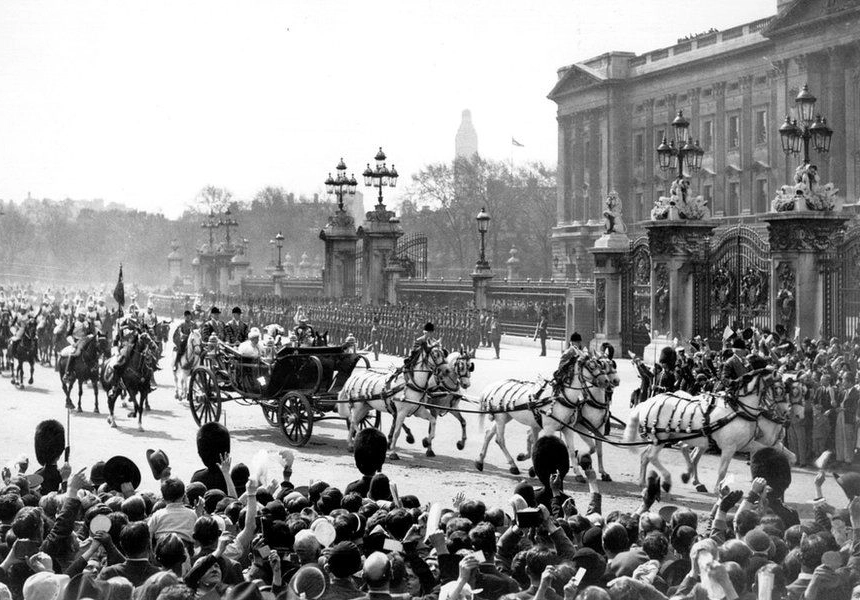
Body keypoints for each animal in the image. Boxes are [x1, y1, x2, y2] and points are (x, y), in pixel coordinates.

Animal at [340, 342, 470, 460]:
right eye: (435, 355)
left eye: (470, 366)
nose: (447, 370)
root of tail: (355, 375)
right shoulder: (407, 411)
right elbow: (397, 431)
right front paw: (394, 452)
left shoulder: (421, 410)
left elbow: (435, 422)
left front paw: (427, 441)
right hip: (358, 405)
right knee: (353, 421)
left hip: (366, 406)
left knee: (355, 421)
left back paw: (351, 444)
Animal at [474, 350, 616, 476]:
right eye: (592, 366)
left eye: (601, 365)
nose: (607, 381)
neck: (561, 397)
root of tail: (494, 385)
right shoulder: (552, 428)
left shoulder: (569, 429)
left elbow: (573, 450)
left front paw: (579, 473)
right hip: (502, 418)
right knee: (500, 439)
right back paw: (513, 465)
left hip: (505, 416)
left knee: (489, 434)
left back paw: (480, 461)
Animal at [624, 370, 800, 492]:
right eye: (778, 389)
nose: (787, 412)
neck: (738, 409)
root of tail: (647, 402)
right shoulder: (730, 447)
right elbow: (722, 470)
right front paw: (718, 489)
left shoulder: (747, 444)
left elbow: (784, 455)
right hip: (662, 437)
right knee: (654, 456)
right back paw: (669, 479)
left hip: (661, 439)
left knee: (646, 456)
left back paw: (643, 482)